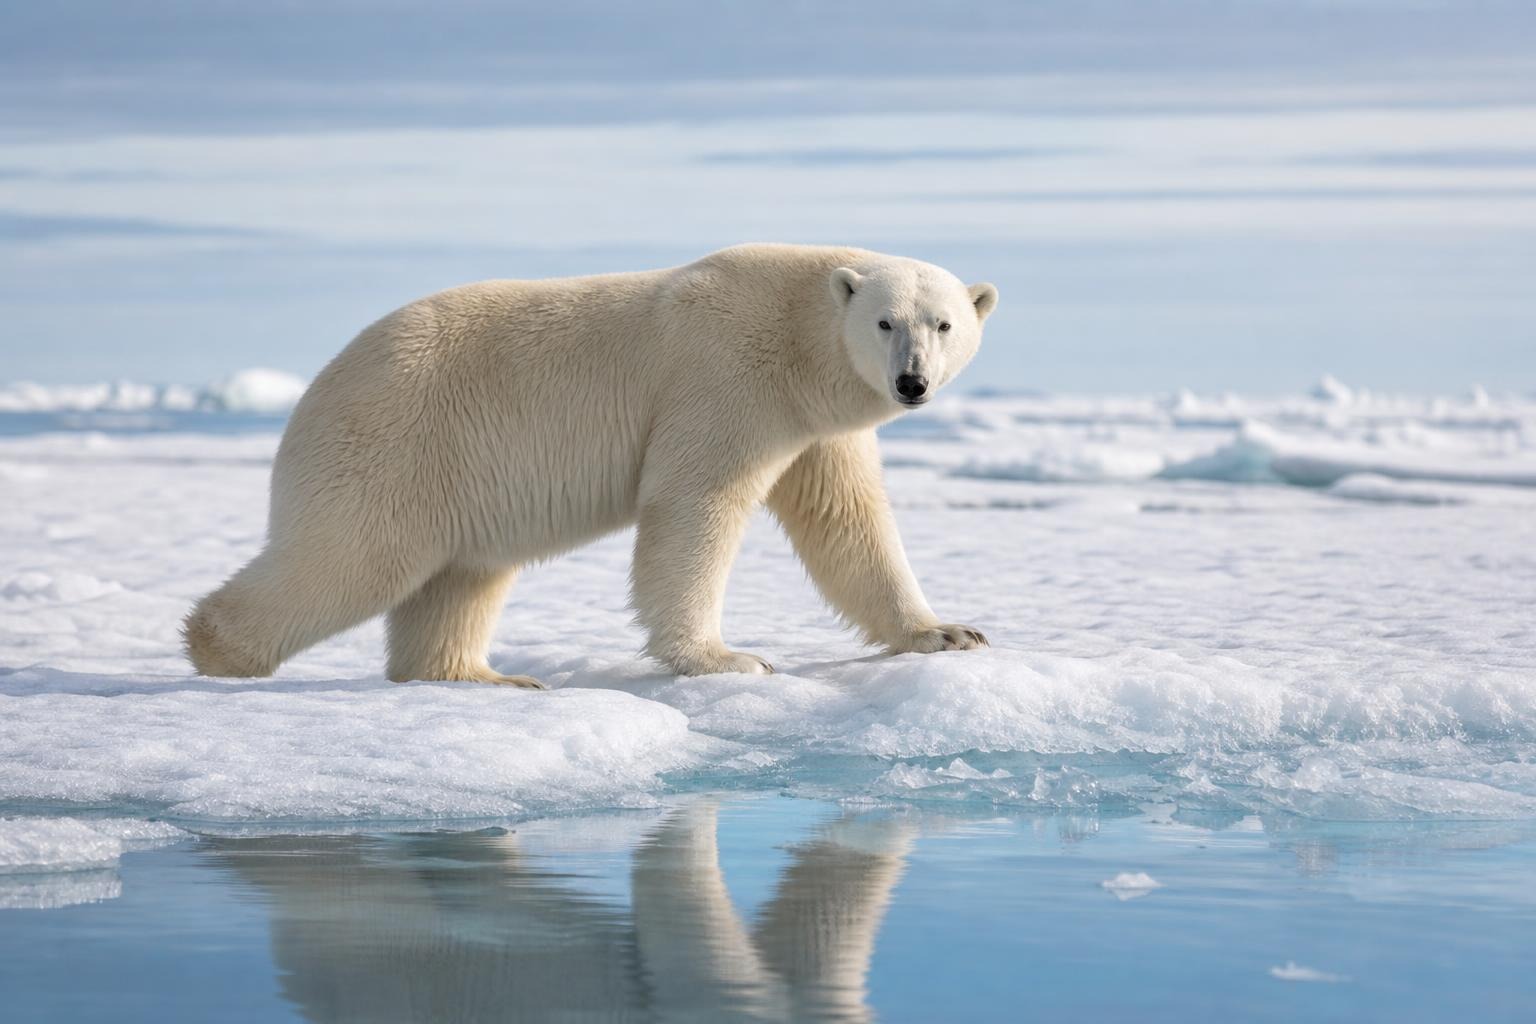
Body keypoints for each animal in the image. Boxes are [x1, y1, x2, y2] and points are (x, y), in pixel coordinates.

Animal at [183, 244, 999, 688]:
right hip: (396, 439)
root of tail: (314, 392)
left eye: (944, 323)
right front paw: (728, 658)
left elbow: (847, 522)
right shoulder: (724, 377)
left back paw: (491, 676)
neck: (796, 336)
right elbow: (693, 504)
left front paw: (950, 633)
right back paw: (214, 648)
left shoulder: (815, 424)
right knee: (354, 558)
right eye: (885, 322)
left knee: (459, 577)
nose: (911, 383)